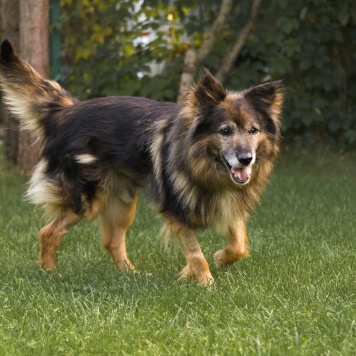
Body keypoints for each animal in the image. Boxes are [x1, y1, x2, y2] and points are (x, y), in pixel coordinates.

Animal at [0, 39, 284, 286]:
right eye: (225, 131)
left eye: (253, 130)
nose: (246, 159)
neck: (204, 164)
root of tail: (65, 110)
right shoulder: (176, 211)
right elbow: (196, 254)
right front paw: (207, 284)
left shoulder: (230, 205)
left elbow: (239, 244)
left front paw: (211, 263)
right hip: (85, 199)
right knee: (48, 232)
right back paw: (50, 273)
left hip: (123, 201)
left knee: (112, 241)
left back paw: (131, 275)